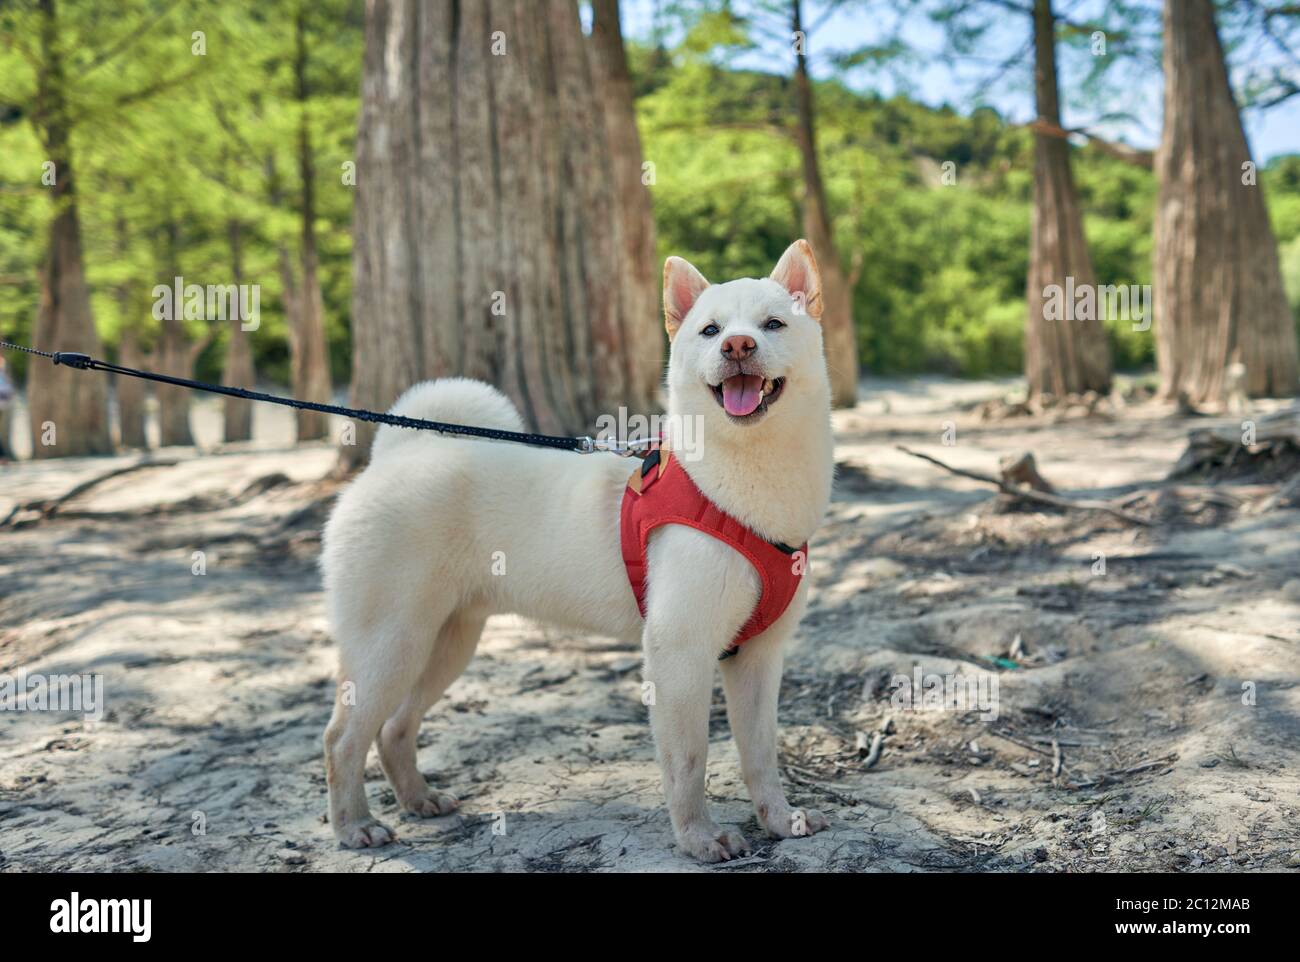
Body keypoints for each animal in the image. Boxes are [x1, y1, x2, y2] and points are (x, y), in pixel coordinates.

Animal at [321, 236, 837, 857]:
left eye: (773, 324)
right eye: (710, 331)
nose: (738, 345)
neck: (737, 483)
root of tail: (394, 455)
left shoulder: (758, 658)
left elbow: (761, 756)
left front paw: (780, 821)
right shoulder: (679, 651)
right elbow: (688, 761)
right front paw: (698, 838)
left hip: (445, 642)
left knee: (395, 727)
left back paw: (419, 801)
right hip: (390, 644)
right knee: (342, 738)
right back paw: (355, 825)